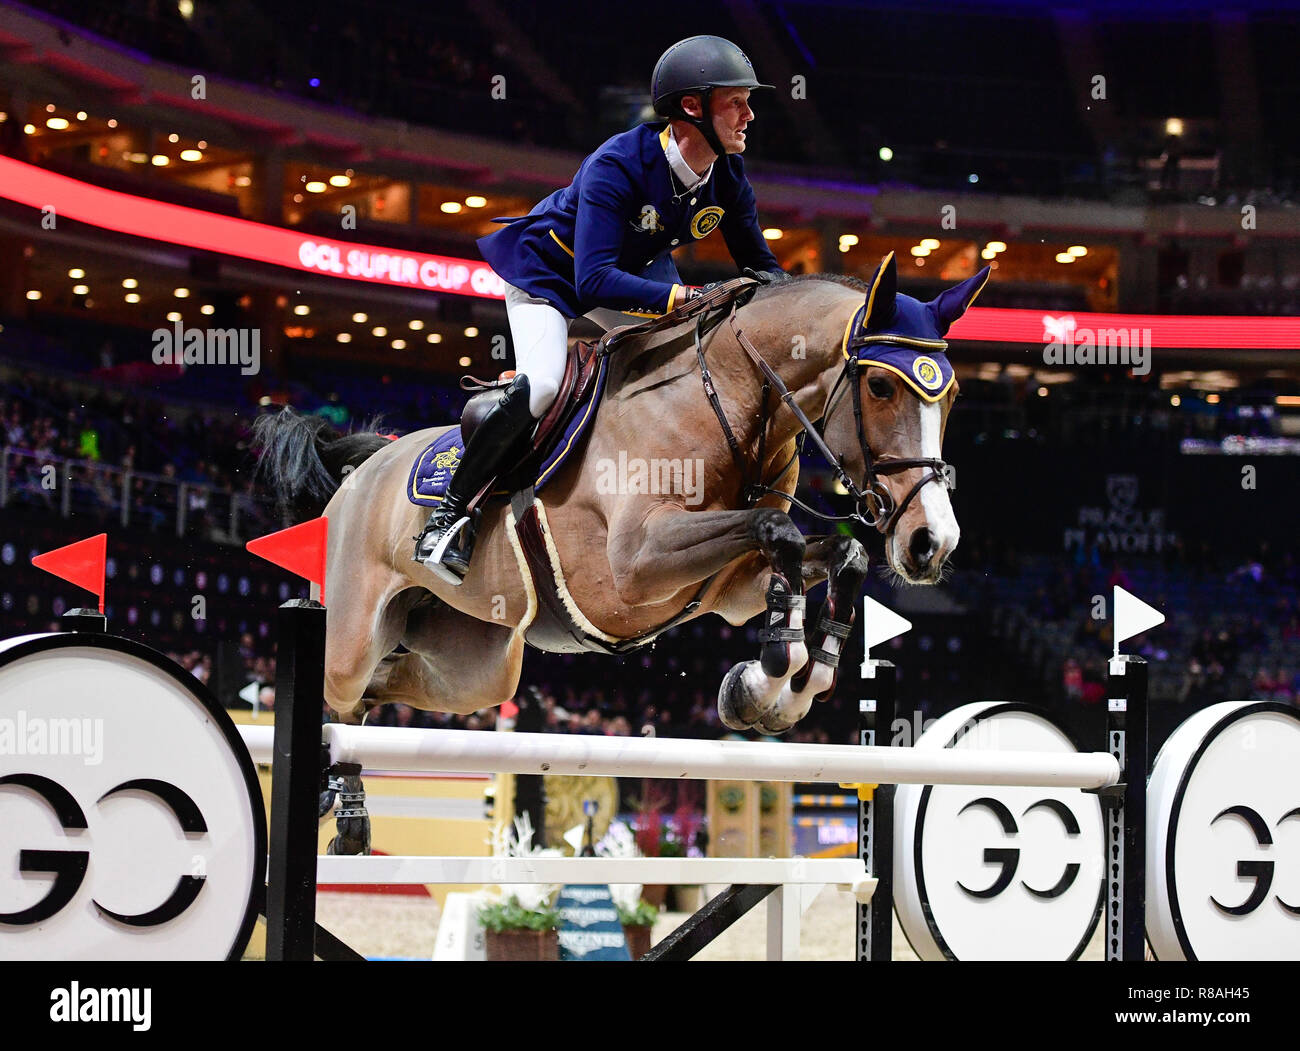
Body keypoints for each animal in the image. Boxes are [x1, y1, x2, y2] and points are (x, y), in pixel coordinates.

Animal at [250, 251, 982, 733]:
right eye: (880, 386)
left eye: (951, 397)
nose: (933, 543)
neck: (725, 401)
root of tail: (364, 468)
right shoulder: (635, 566)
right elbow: (780, 534)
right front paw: (773, 671)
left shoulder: (728, 587)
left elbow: (833, 555)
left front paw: (790, 682)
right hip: (352, 633)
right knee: (341, 683)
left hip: (476, 663)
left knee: (391, 686)